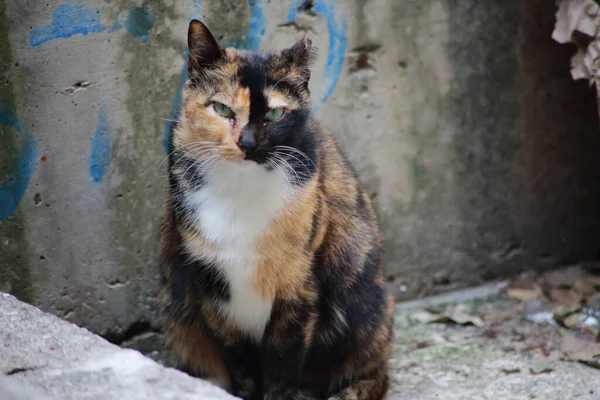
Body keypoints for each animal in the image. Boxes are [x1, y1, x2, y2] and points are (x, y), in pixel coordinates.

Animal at [157, 19, 396, 400]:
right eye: (222, 110)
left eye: (275, 112)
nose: (248, 143)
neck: (240, 192)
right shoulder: (211, 288)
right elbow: (240, 360)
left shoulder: (297, 286)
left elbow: (282, 362)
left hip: (367, 305)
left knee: (375, 373)